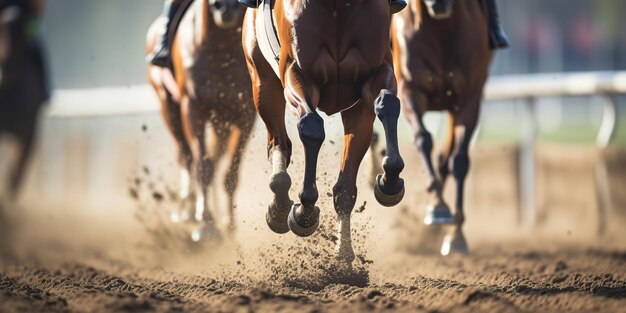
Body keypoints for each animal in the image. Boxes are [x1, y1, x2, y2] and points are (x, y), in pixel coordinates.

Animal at [146, 0, 254, 240]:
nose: (225, 7)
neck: (223, 46)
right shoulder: (194, 109)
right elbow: (202, 165)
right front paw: (206, 225)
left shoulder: (245, 115)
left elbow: (230, 172)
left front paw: (229, 225)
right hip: (168, 107)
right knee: (186, 156)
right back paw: (187, 209)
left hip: (221, 122)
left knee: (214, 159)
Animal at [241, 0, 408, 264]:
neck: (338, 6)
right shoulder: (296, 72)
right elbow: (311, 127)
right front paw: (304, 211)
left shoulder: (373, 78)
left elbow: (388, 104)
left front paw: (389, 180)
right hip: (263, 82)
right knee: (278, 141)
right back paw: (279, 205)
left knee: (344, 185)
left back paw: (343, 253)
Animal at [390, 0, 492, 254]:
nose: (439, 3)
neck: (441, 30)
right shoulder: (409, 89)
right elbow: (423, 138)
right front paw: (437, 206)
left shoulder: (469, 99)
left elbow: (460, 160)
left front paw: (456, 234)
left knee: (446, 159)